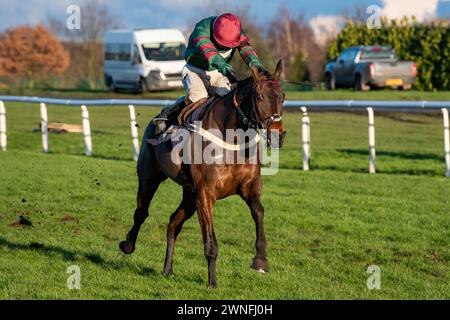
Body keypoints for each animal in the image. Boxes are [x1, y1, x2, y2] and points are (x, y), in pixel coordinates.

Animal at [119, 60, 286, 288]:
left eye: (282, 97)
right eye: (259, 96)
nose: (278, 135)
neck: (230, 137)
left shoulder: (248, 187)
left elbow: (259, 212)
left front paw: (260, 261)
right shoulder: (205, 193)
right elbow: (210, 241)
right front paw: (212, 281)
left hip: (189, 195)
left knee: (173, 223)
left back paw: (167, 269)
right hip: (150, 177)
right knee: (141, 212)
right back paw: (128, 245)